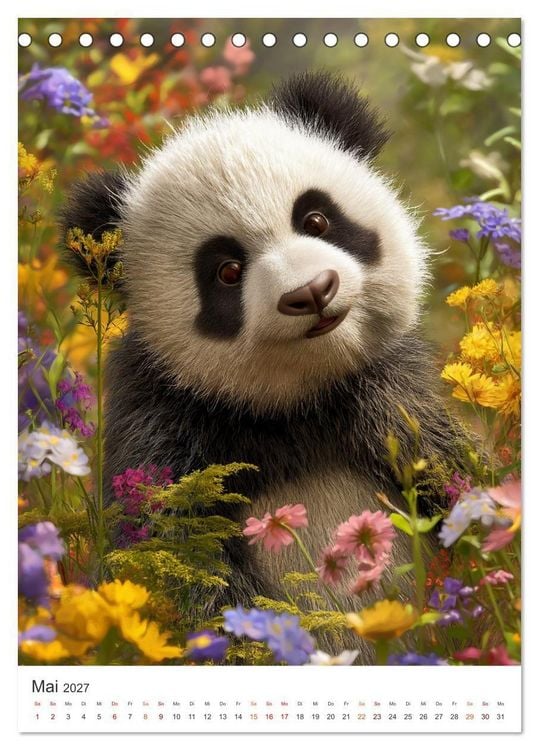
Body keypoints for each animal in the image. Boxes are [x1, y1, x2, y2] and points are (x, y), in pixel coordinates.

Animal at [62, 72, 467, 653]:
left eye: (316, 218)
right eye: (227, 270)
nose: (312, 292)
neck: (293, 407)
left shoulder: (390, 396)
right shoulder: (164, 426)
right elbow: (184, 564)